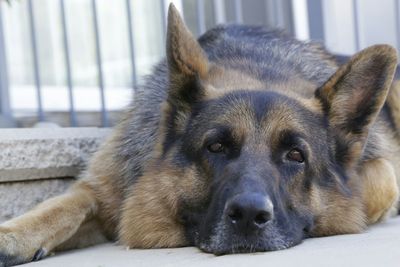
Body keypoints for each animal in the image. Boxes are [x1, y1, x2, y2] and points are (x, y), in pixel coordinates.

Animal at [0, 3, 400, 266]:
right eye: (216, 147)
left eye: (296, 156)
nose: (249, 215)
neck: (257, 67)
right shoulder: (109, 183)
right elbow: (67, 203)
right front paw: (14, 234)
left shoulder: (381, 173)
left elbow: (374, 189)